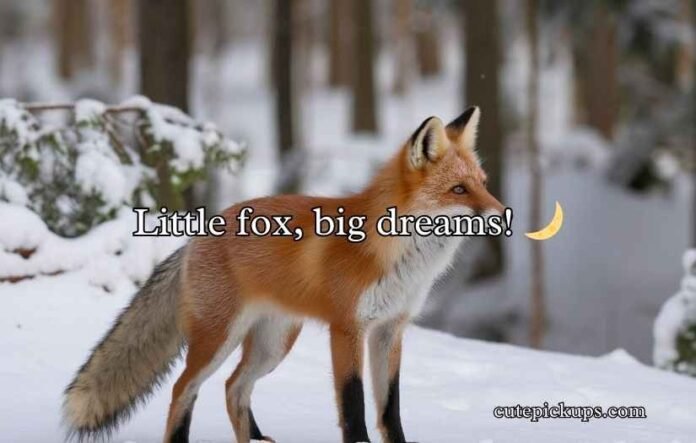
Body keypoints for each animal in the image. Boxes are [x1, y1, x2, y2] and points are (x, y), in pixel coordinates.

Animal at [63, 106, 505, 443]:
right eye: (459, 190)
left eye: (483, 184)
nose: (502, 215)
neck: (398, 259)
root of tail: (197, 236)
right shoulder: (347, 329)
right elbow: (354, 407)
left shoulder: (390, 329)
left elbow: (389, 410)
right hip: (218, 338)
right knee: (183, 389)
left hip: (274, 345)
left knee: (234, 388)